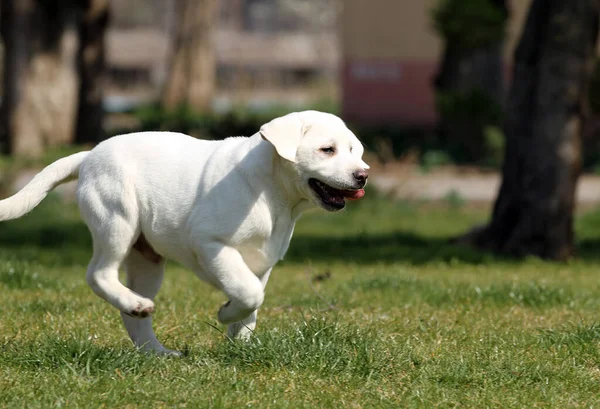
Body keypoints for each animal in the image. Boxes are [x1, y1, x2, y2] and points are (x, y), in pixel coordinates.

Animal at [0, 110, 368, 352]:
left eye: (353, 150)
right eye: (327, 150)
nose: (363, 175)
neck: (273, 193)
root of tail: (89, 155)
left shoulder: (263, 262)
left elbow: (252, 303)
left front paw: (239, 343)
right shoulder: (211, 243)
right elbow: (249, 293)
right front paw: (225, 314)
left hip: (146, 259)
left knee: (133, 317)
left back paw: (155, 348)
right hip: (117, 221)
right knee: (98, 274)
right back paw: (136, 308)